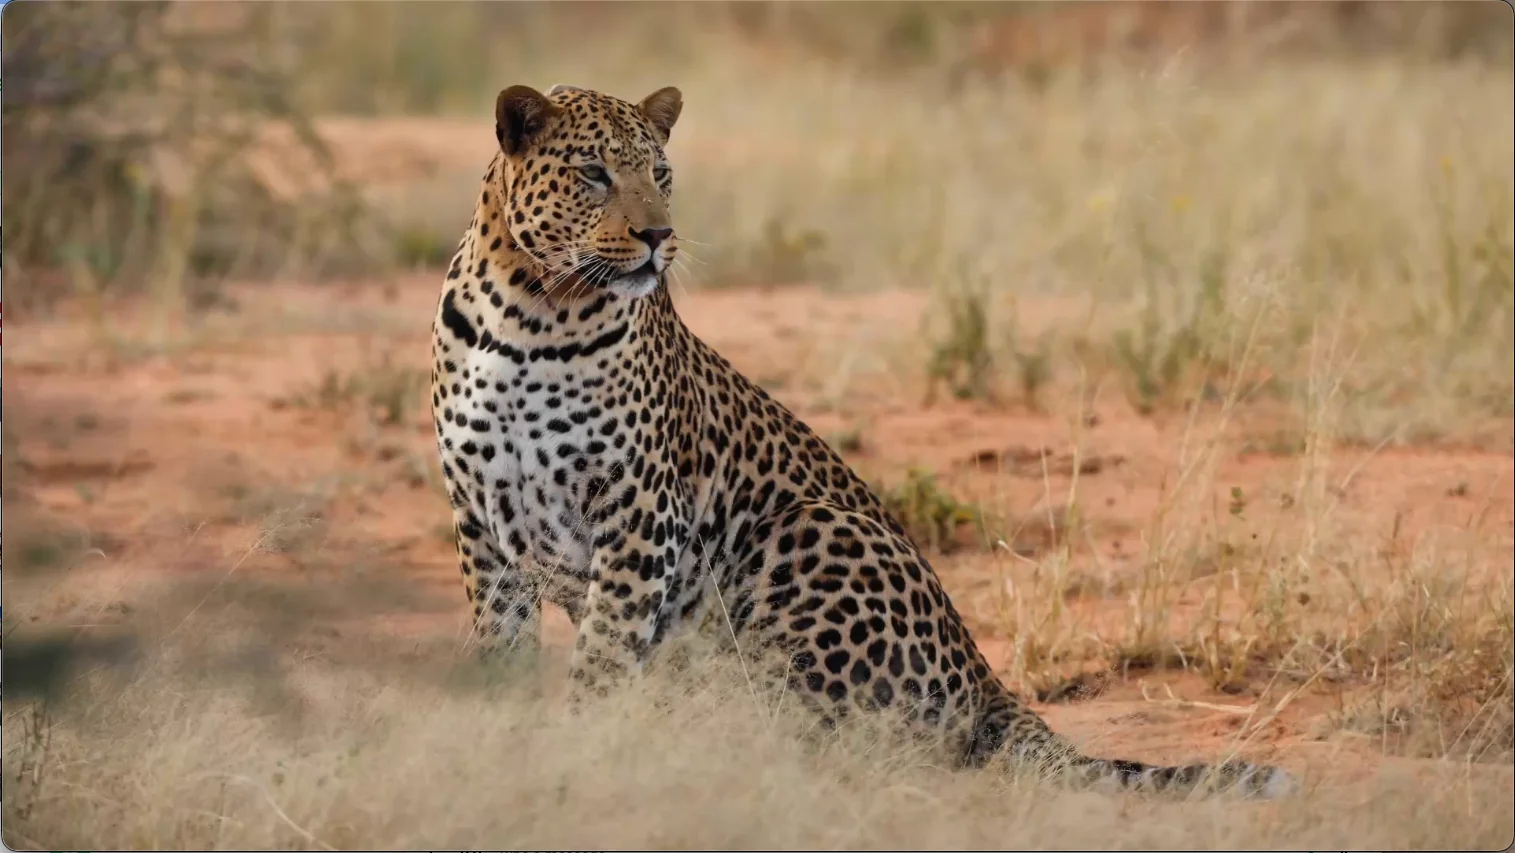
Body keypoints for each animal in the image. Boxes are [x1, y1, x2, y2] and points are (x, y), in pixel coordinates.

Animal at [429, 82, 1295, 799]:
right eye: (592, 173)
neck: (530, 316)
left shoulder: (640, 511)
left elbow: (605, 655)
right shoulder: (480, 522)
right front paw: (514, 741)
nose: (657, 236)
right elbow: (503, 645)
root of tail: (989, 681)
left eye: (661, 172)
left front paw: (580, 752)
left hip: (808, 530)